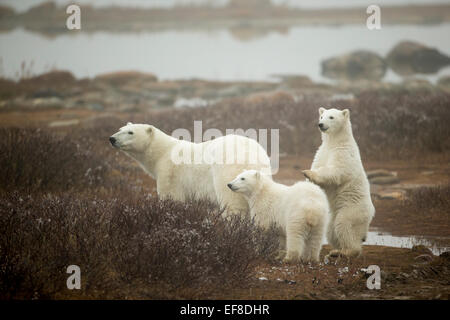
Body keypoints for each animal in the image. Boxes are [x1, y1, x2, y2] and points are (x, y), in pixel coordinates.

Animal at [110, 124, 270, 214]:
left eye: (130, 132)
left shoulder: (168, 172)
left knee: (232, 203)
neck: (163, 152)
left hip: (227, 172)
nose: (112, 138)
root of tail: (251, 155)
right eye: (120, 129)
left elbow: (171, 197)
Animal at [302, 109, 376, 258]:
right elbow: (318, 164)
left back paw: (347, 251)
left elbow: (335, 170)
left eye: (331, 117)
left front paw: (308, 173)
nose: (320, 124)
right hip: (335, 213)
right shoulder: (322, 152)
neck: (334, 141)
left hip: (353, 209)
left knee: (344, 225)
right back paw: (336, 250)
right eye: (321, 116)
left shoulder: (343, 152)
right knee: (331, 229)